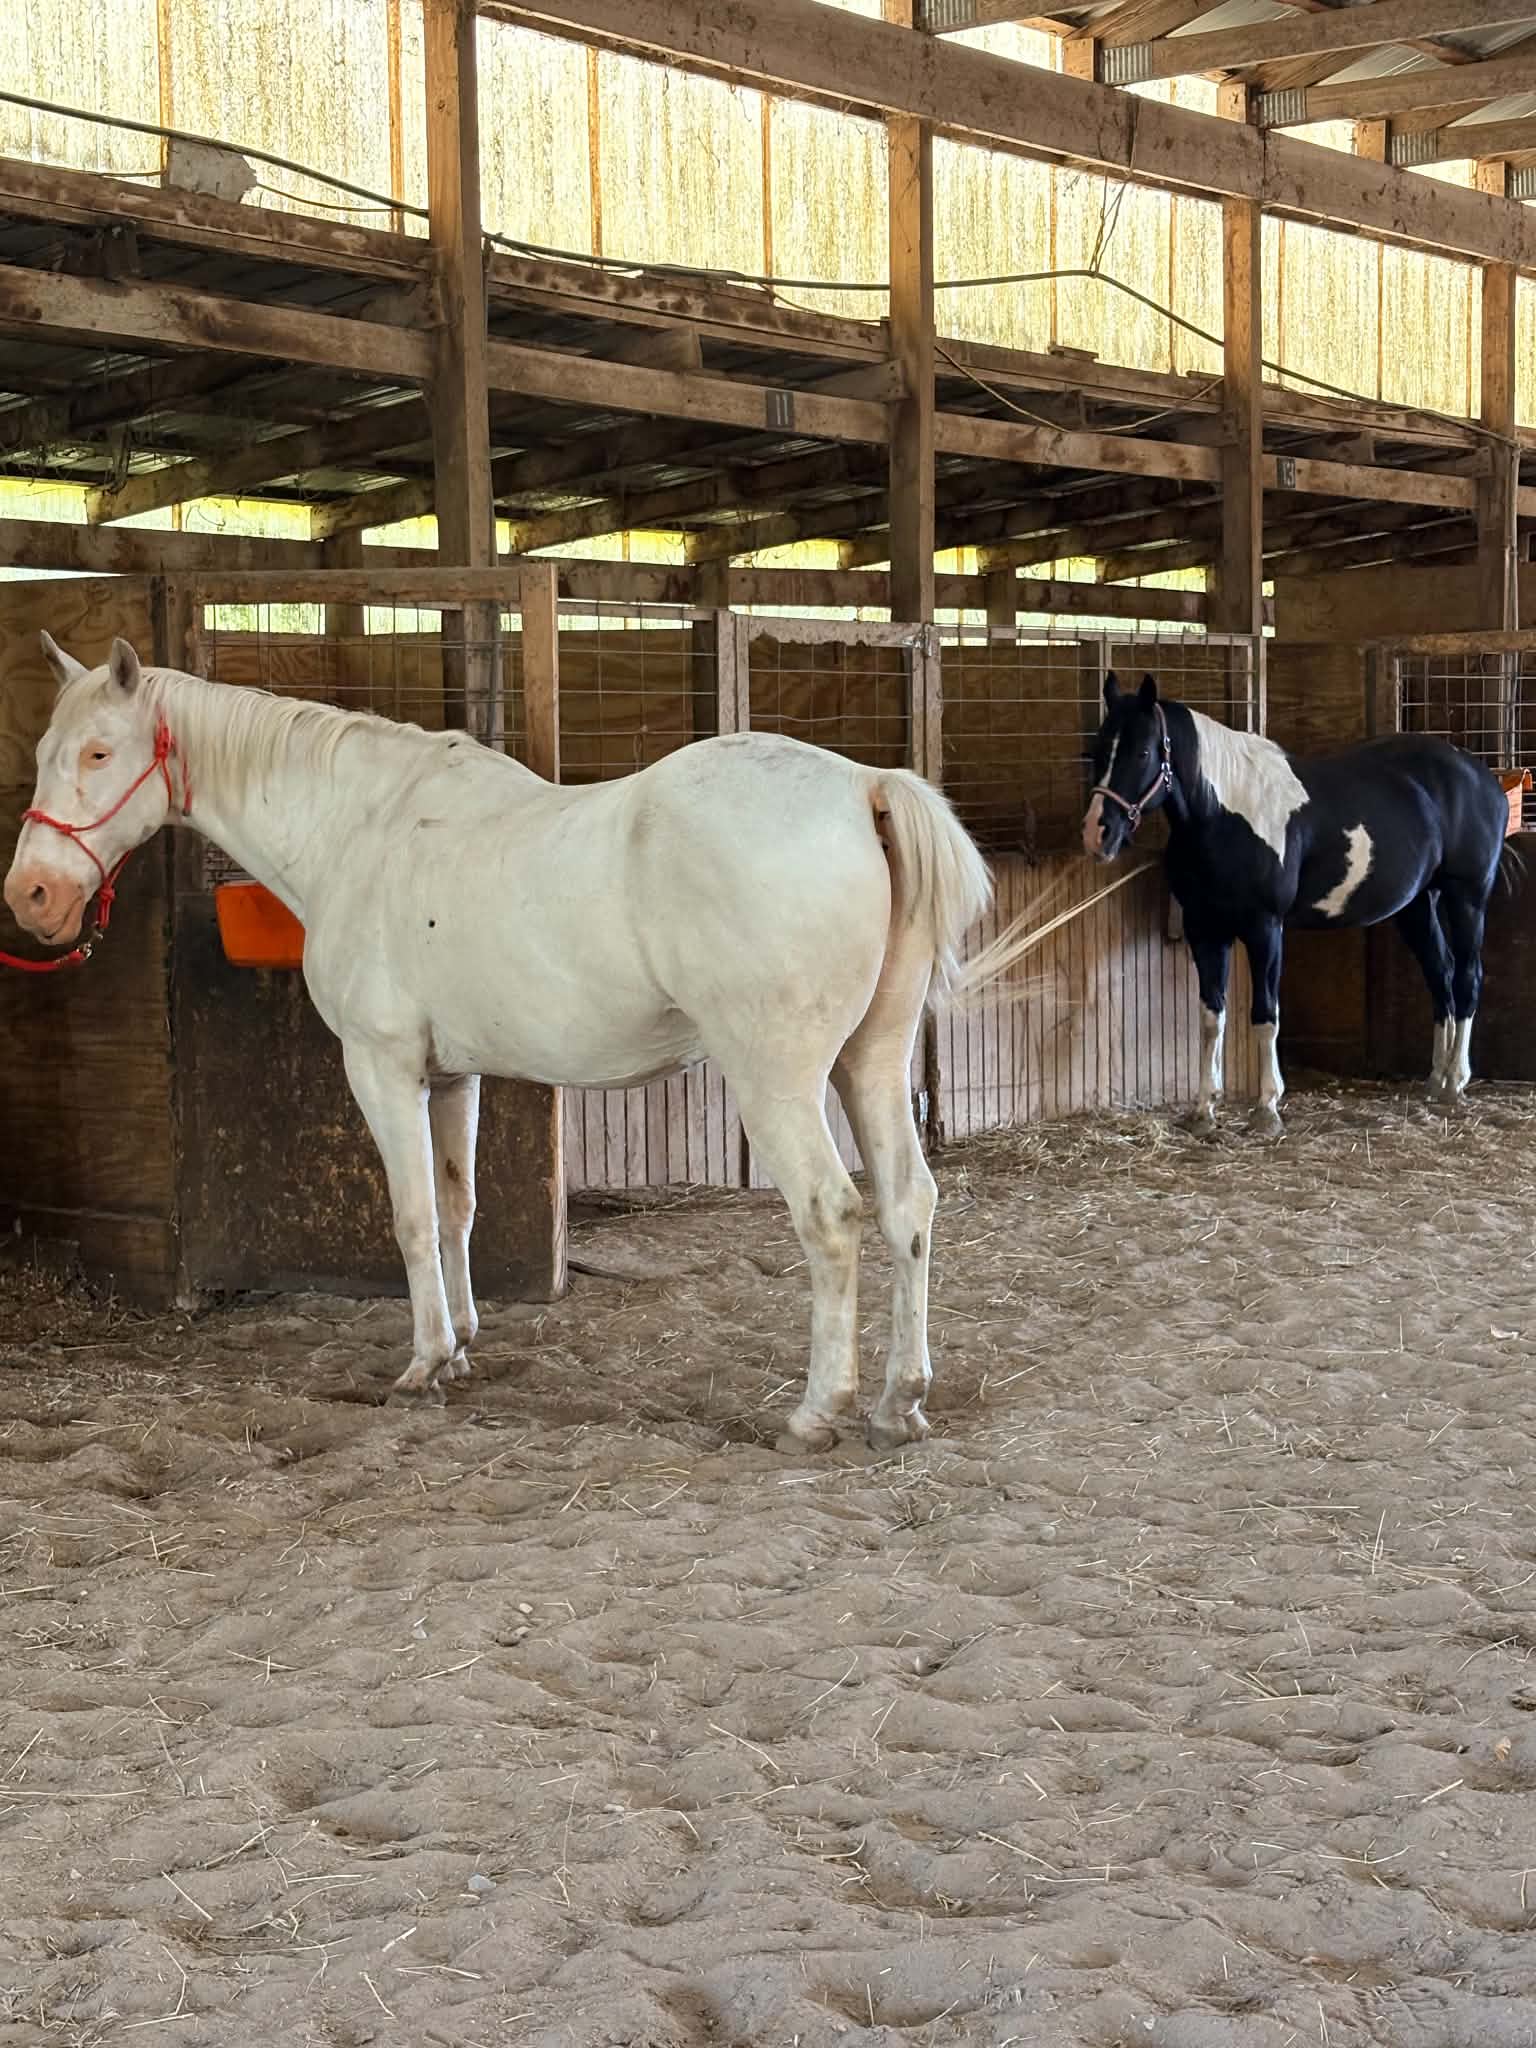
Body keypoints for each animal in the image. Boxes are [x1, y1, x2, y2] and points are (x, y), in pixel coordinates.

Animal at [4, 635, 991, 1452]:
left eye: (98, 753)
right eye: (47, 754)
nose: (32, 898)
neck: (363, 829)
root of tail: (864, 788)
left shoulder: (382, 1069)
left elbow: (408, 1217)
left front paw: (421, 1366)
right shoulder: (451, 1079)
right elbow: (455, 1208)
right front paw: (462, 1348)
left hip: (777, 1080)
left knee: (831, 1215)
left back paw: (817, 1413)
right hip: (871, 1064)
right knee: (908, 1204)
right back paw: (899, 1402)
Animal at [1082, 671, 1511, 1135]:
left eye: (1142, 751)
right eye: (1097, 748)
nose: (1097, 833)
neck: (1225, 815)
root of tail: (1484, 778)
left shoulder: (1265, 927)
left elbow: (1265, 1015)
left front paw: (1267, 1108)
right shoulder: (1204, 928)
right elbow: (1211, 1017)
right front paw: (1204, 1110)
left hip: (1467, 897)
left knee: (1467, 976)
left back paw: (1456, 1082)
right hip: (1416, 906)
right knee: (1440, 974)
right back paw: (1437, 1078)